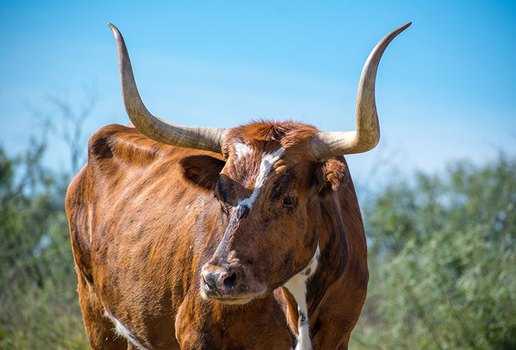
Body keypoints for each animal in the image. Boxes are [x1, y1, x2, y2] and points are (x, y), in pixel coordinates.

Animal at [65, 23, 412, 348]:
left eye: (288, 198)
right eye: (220, 196)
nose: (217, 278)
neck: (297, 304)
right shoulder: (197, 336)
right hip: (94, 311)